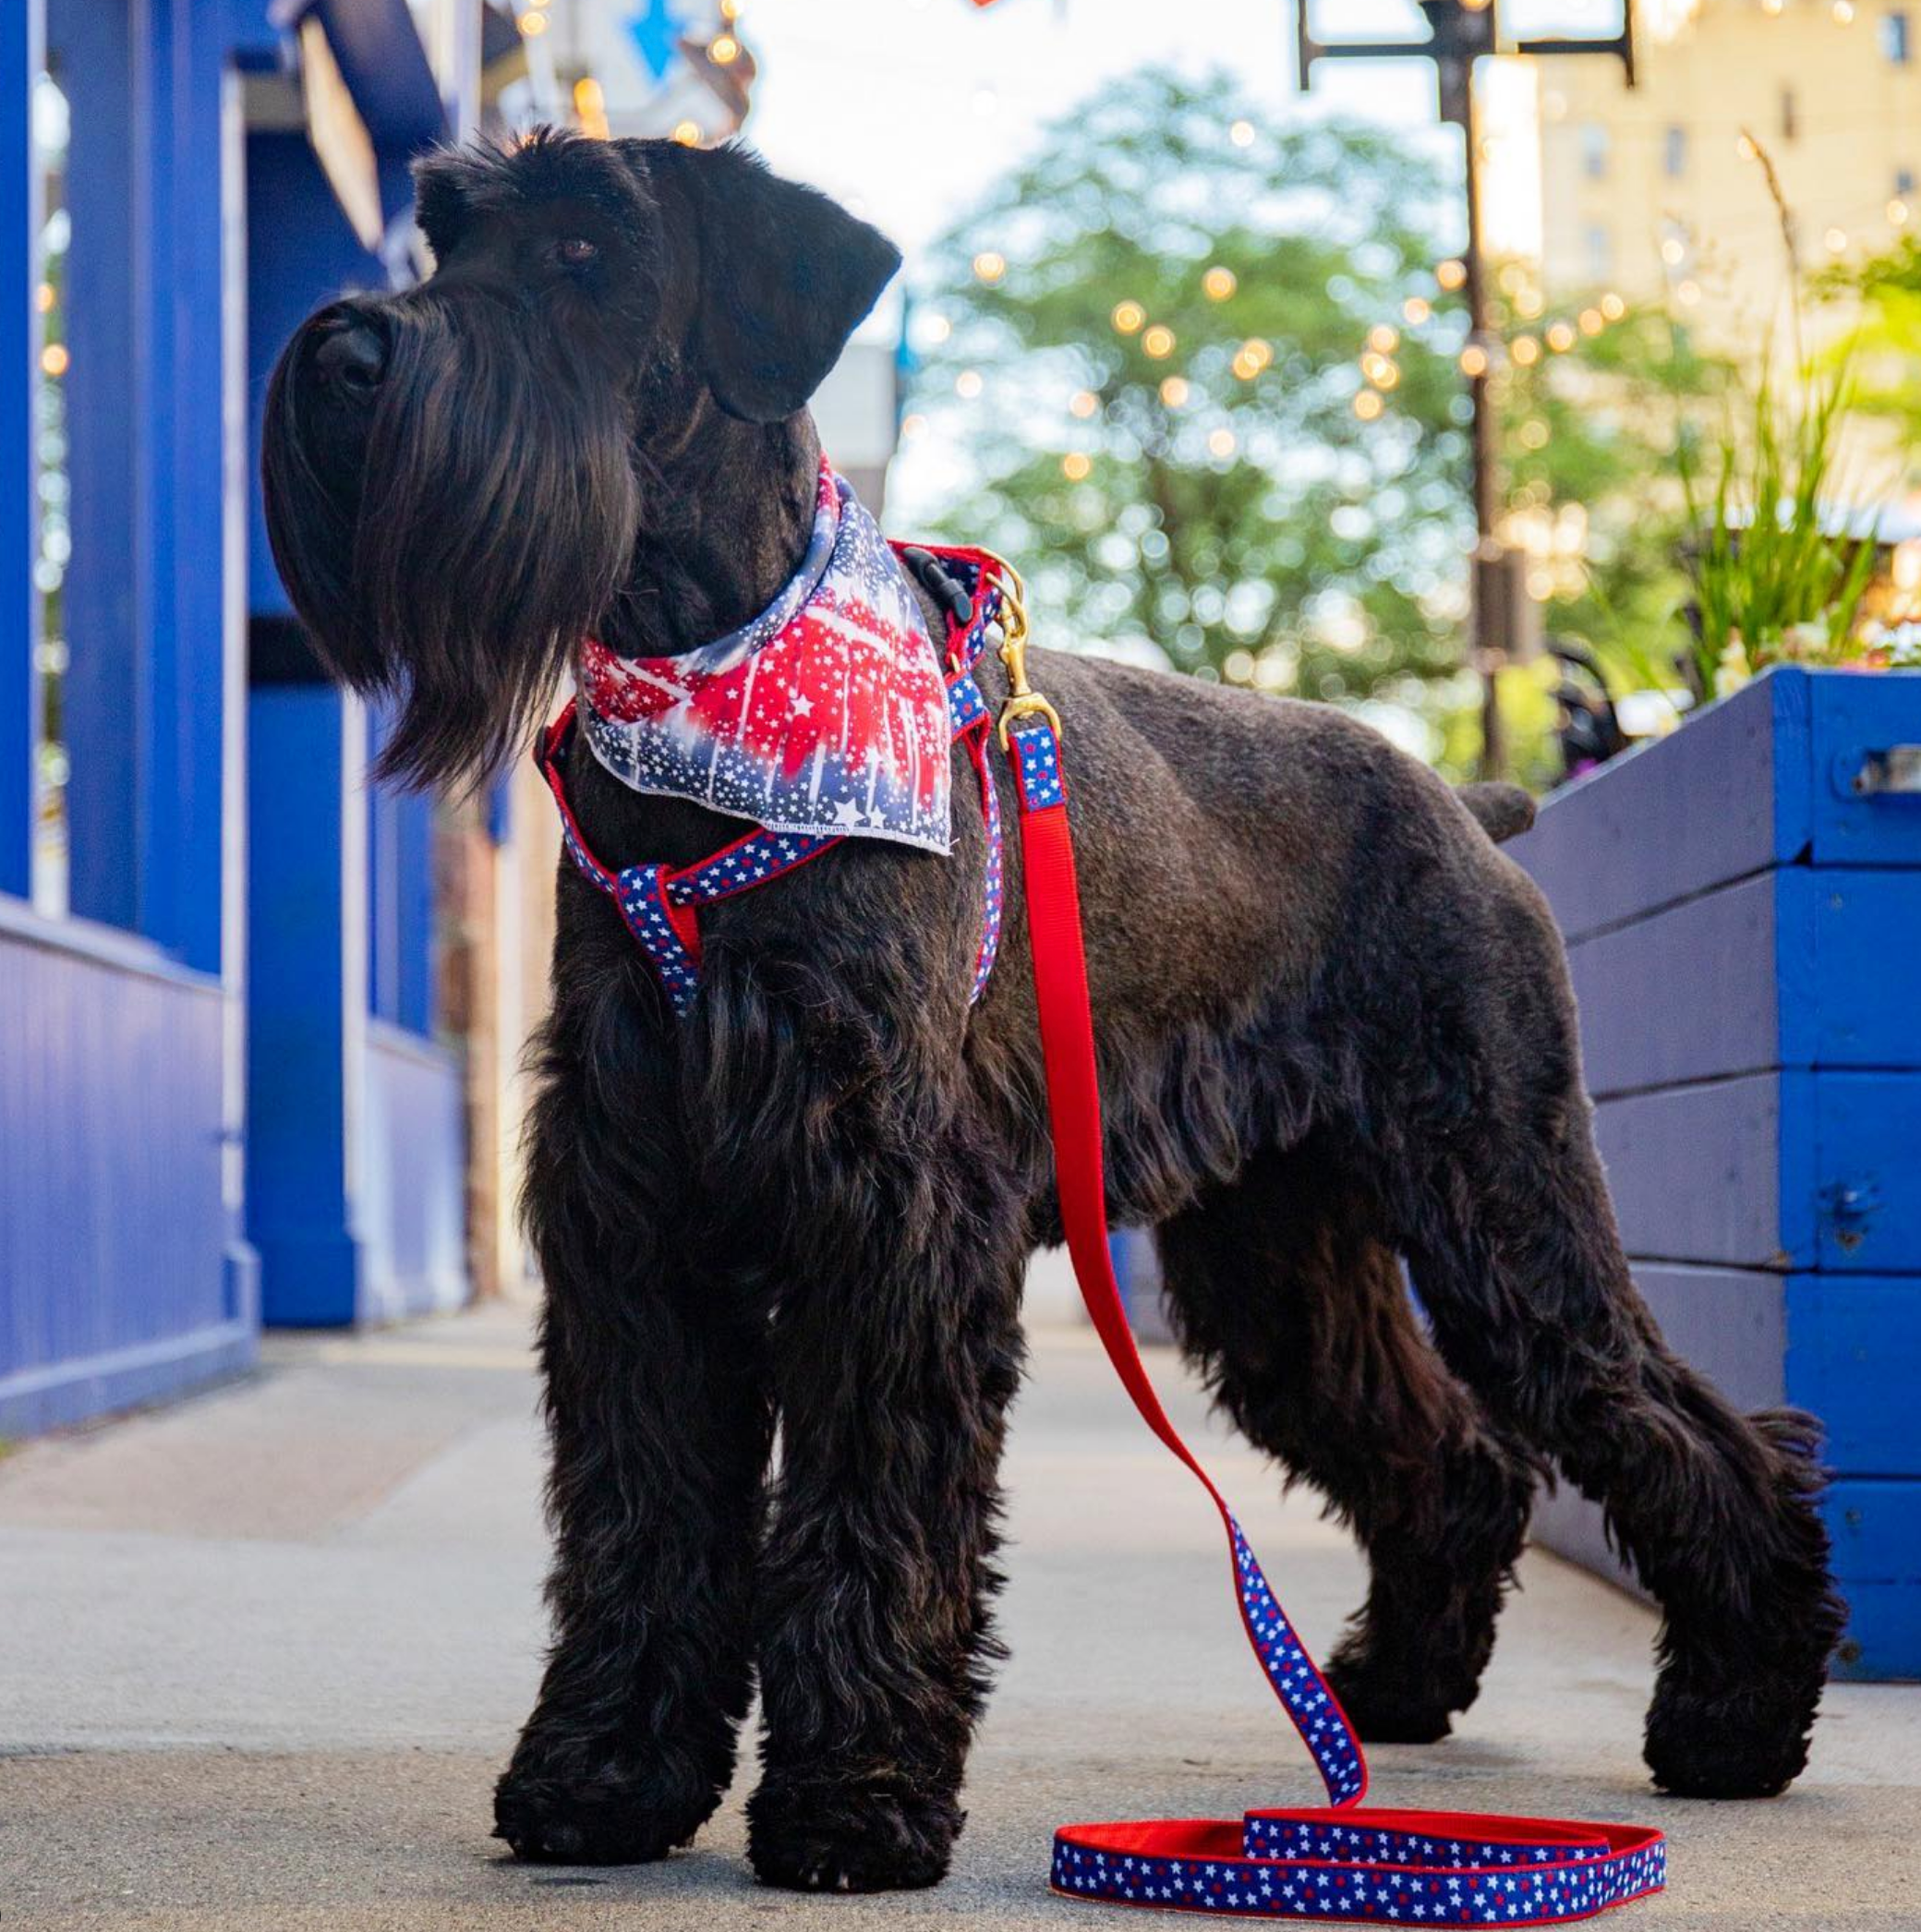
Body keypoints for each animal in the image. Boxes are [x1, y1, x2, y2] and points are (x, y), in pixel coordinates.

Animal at [259, 132, 1840, 1885]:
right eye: (444, 235)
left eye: (588, 249)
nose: (345, 354)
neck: (711, 682)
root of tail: (1465, 803)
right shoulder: (634, 1211)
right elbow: (643, 1512)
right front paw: (604, 1776)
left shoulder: (891, 1211)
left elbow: (872, 1512)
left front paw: (857, 1801)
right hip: (1279, 1256)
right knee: (1458, 1455)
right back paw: (1398, 1691)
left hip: (1504, 1195)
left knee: (1691, 1430)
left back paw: (1736, 1717)